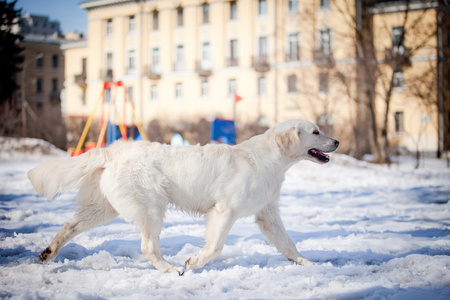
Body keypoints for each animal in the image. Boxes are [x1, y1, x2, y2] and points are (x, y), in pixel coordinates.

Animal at [28, 119, 338, 274]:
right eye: (316, 132)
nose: (336, 141)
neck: (270, 159)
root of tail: (113, 150)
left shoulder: (267, 214)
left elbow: (288, 244)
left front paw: (308, 264)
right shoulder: (224, 210)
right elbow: (215, 247)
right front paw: (194, 263)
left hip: (103, 209)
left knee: (69, 226)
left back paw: (48, 253)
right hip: (152, 207)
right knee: (148, 247)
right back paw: (170, 269)